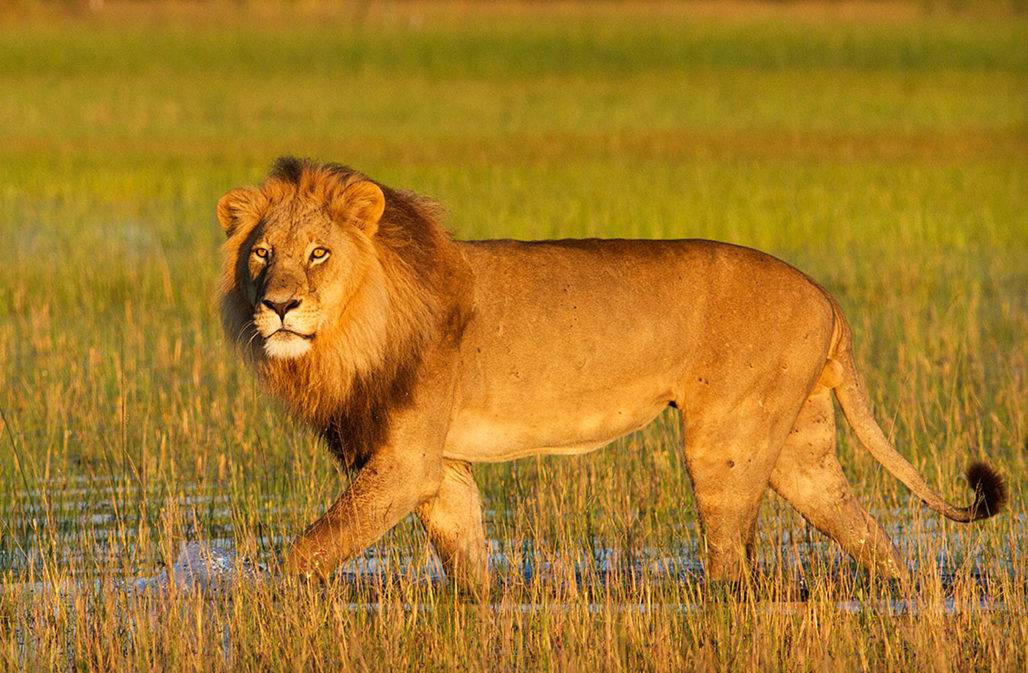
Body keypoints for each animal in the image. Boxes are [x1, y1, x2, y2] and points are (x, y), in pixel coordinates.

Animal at [214, 158, 1003, 595]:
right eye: (261, 254)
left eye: (318, 254)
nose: (278, 305)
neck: (352, 331)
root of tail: (829, 300)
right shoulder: (438, 465)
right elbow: (466, 559)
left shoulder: (404, 461)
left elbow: (307, 549)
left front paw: (251, 604)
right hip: (799, 450)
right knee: (870, 534)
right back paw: (905, 594)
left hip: (726, 441)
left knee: (731, 562)